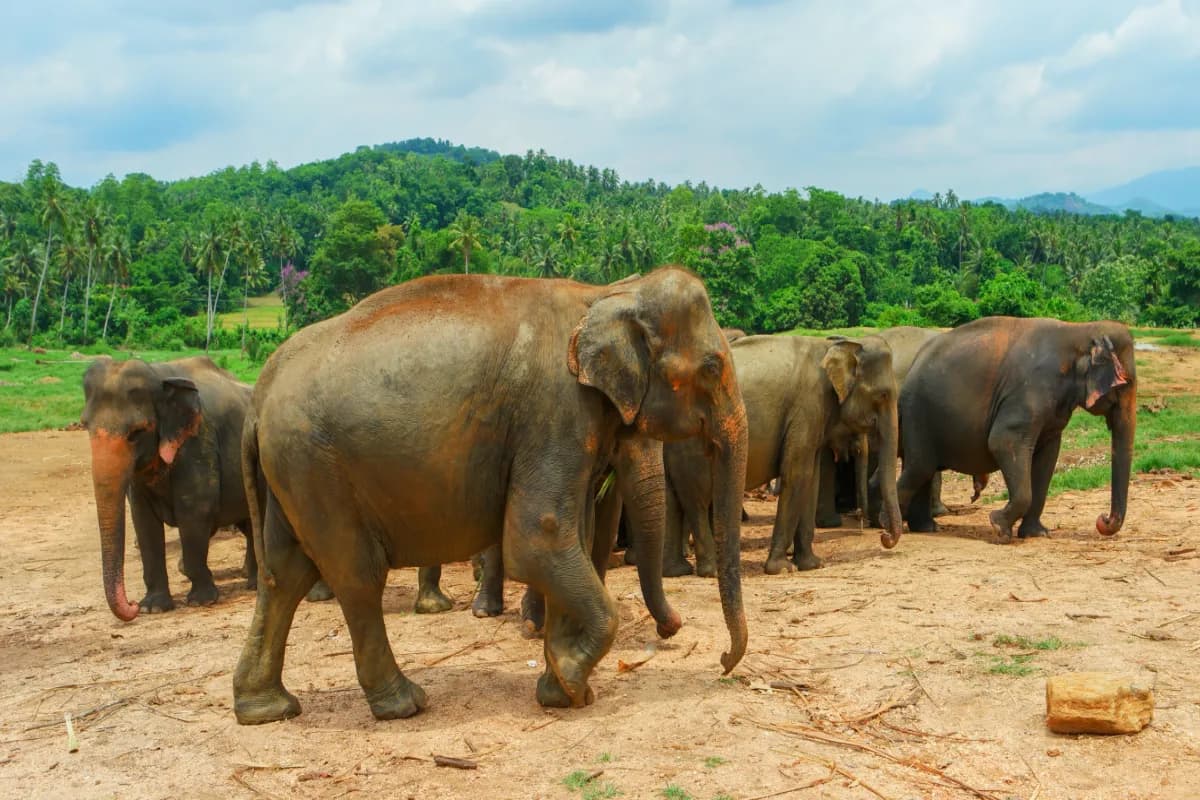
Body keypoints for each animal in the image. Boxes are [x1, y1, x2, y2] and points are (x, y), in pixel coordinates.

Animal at [81, 356, 259, 620]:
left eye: (137, 432)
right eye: (85, 426)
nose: (132, 605)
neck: (160, 376)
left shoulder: (197, 443)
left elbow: (194, 512)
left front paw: (201, 601)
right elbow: (144, 521)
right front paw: (152, 607)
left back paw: (254, 584)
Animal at [233, 267, 748, 725]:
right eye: (712, 367)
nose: (723, 660)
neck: (605, 293)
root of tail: (257, 399)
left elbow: (566, 541)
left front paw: (562, 692)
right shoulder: (556, 411)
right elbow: (539, 539)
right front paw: (572, 680)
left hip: (294, 472)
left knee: (285, 574)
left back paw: (266, 709)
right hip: (315, 466)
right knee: (356, 575)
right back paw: (403, 704)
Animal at [663, 335, 903, 577]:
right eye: (883, 394)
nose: (884, 536)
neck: (836, 346)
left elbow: (811, 480)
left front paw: (812, 565)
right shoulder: (807, 407)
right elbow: (797, 474)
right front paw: (781, 568)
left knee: (672, 497)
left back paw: (677, 570)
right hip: (692, 444)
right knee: (698, 500)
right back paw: (710, 570)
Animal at [895, 317, 1136, 540]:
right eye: (1125, 383)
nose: (1102, 519)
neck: (1080, 330)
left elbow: (1047, 456)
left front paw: (1035, 534)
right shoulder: (1029, 390)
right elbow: (1002, 441)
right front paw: (998, 526)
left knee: (924, 470)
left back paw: (926, 528)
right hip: (917, 414)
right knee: (921, 467)